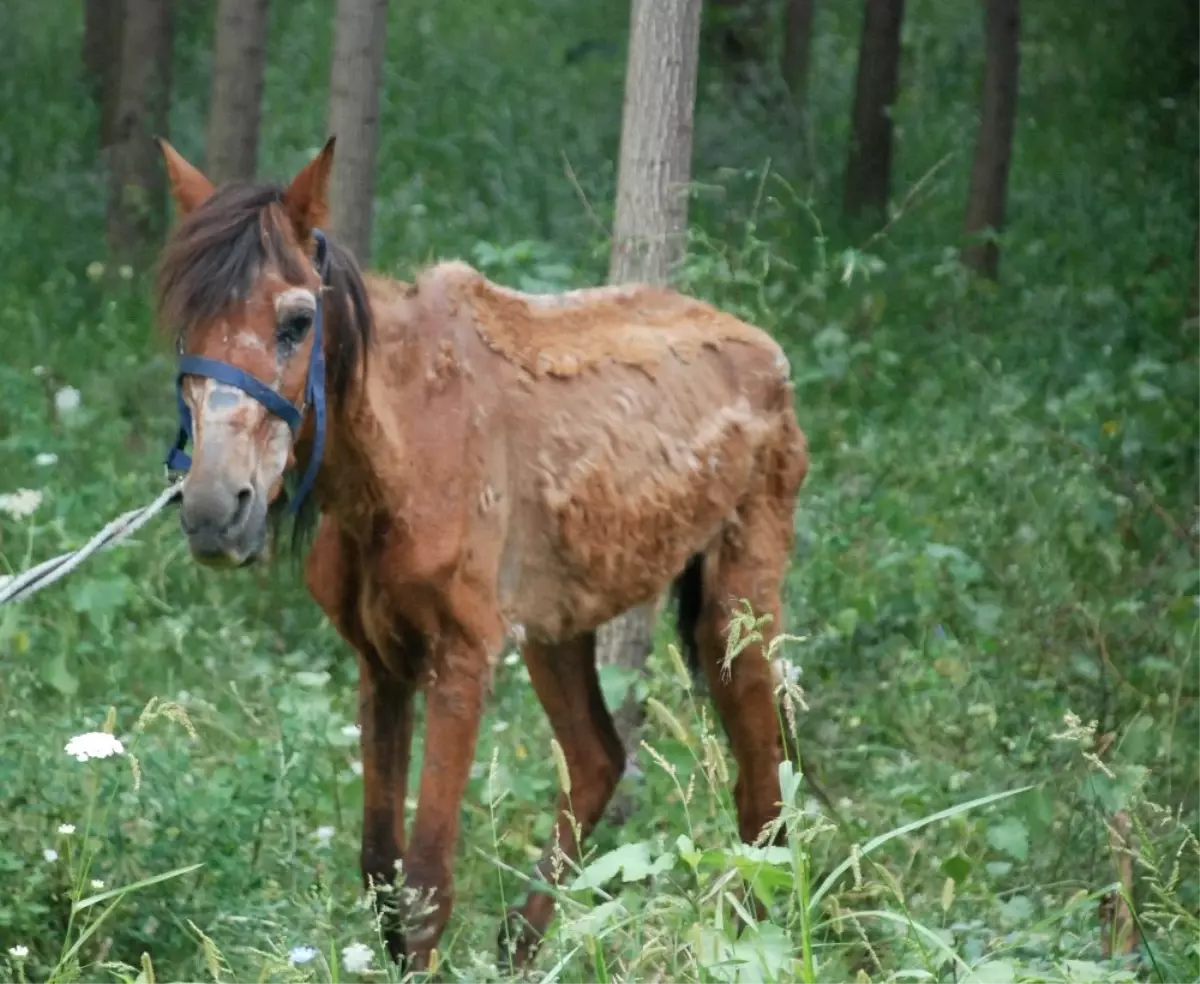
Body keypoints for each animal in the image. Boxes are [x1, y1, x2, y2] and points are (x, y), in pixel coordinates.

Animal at [150, 136, 806, 969]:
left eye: (297, 321)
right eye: (184, 327)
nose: (214, 512)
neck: (397, 458)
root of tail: (768, 354)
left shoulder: (461, 661)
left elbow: (428, 882)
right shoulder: (382, 663)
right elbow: (382, 872)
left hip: (736, 612)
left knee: (762, 801)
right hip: (559, 628)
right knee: (599, 759)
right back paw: (520, 949)